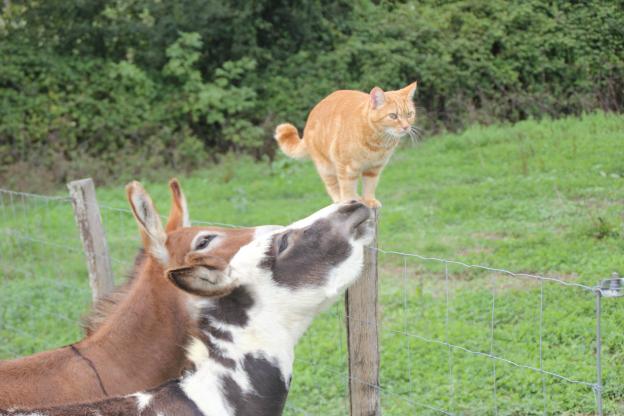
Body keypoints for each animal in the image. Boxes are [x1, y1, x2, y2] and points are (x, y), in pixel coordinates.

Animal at [276, 82, 416, 207]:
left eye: (409, 114)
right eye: (393, 116)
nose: (406, 127)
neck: (377, 143)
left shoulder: (374, 169)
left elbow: (369, 186)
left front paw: (369, 200)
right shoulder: (346, 167)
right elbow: (347, 187)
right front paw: (350, 201)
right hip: (325, 167)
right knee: (333, 187)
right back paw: (341, 199)